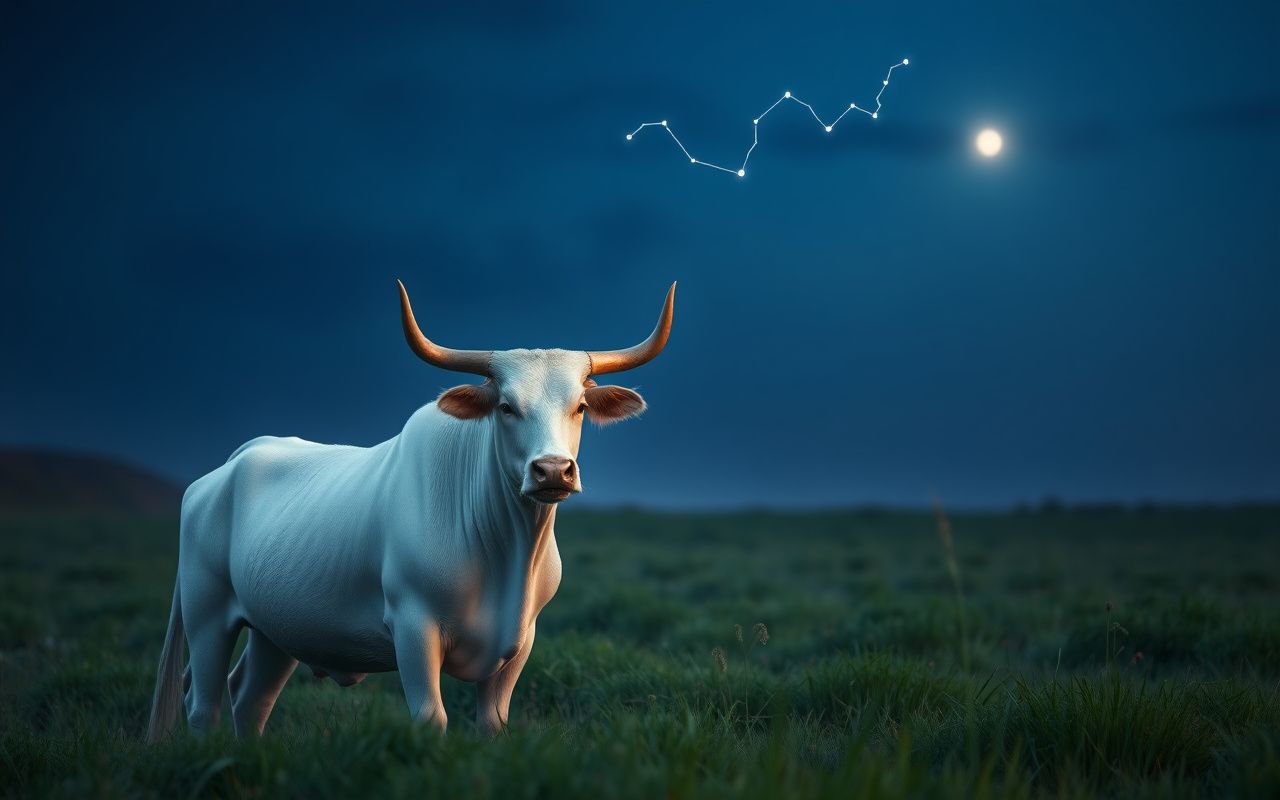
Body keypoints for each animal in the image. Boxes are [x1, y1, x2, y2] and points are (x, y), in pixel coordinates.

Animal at [146, 280, 675, 740]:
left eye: (580, 406)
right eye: (505, 407)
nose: (552, 471)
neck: (508, 556)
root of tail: (231, 464)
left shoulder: (521, 642)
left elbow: (494, 723)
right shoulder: (413, 627)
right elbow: (431, 717)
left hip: (276, 630)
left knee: (250, 699)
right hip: (206, 612)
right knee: (204, 705)